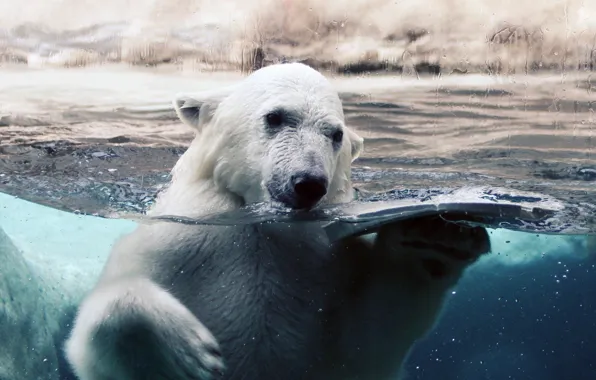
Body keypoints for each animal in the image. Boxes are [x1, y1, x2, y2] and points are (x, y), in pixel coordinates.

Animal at [65, 63, 492, 380]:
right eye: (275, 117)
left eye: (335, 134)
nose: (308, 183)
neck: (260, 224)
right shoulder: (177, 242)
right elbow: (96, 331)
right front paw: (187, 356)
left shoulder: (330, 264)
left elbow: (366, 341)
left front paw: (434, 237)